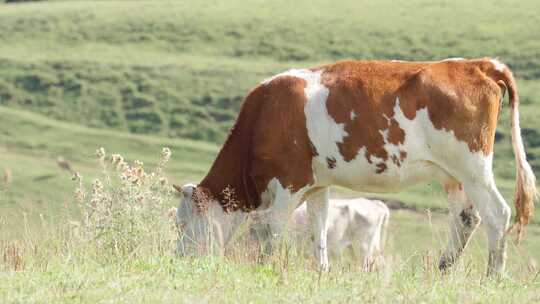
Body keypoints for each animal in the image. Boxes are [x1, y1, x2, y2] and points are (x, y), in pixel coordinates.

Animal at [176, 58, 536, 276]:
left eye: (184, 223)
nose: (179, 259)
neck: (264, 115)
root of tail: (478, 64)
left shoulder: (289, 183)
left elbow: (273, 231)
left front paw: (266, 269)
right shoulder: (317, 185)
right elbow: (318, 229)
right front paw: (321, 272)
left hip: (473, 167)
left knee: (497, 214)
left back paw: (493, 277)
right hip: (454, 177)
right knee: (466, 219)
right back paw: (443, 269)